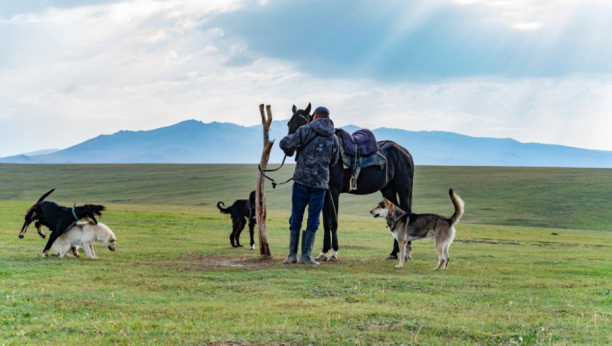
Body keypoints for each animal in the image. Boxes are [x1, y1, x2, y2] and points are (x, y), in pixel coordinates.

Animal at [286, 104, 416, 260]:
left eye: (301, 124)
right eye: (289, 123)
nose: (287, 148)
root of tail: (404, 152)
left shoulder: (334, 192)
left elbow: (333, 222)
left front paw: (334, 253)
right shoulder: (325, 194)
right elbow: (325, 222)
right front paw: (324, 252)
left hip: (403, 190)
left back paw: (407, 252)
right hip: (388, 189)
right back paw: (394, 253)